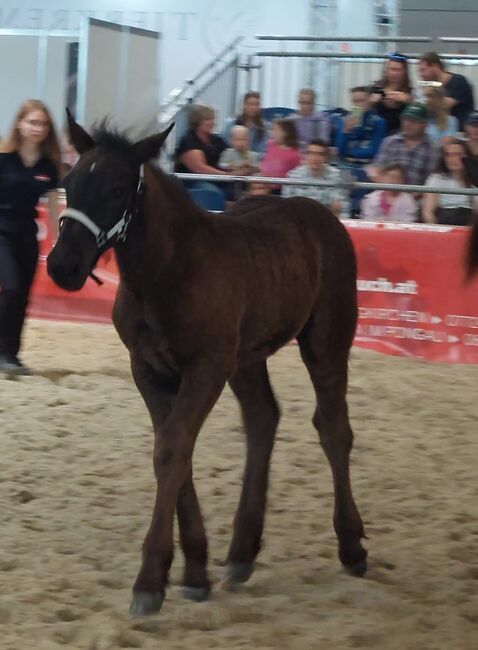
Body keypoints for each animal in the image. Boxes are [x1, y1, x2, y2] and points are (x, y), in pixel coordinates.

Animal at [46, 112, 368, 616]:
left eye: (117, 189)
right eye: (70, 181)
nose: (63, 267)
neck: (165, 274)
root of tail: (322, 212)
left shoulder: (206, 368)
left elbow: (172, 449)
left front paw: (150, 582)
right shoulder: (148, 371)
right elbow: (174, 452)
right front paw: (195, 572)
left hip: (326, 344)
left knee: (334, 429)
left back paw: (351, 546)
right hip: (247, 359)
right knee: (262, 418)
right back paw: (241, 552)